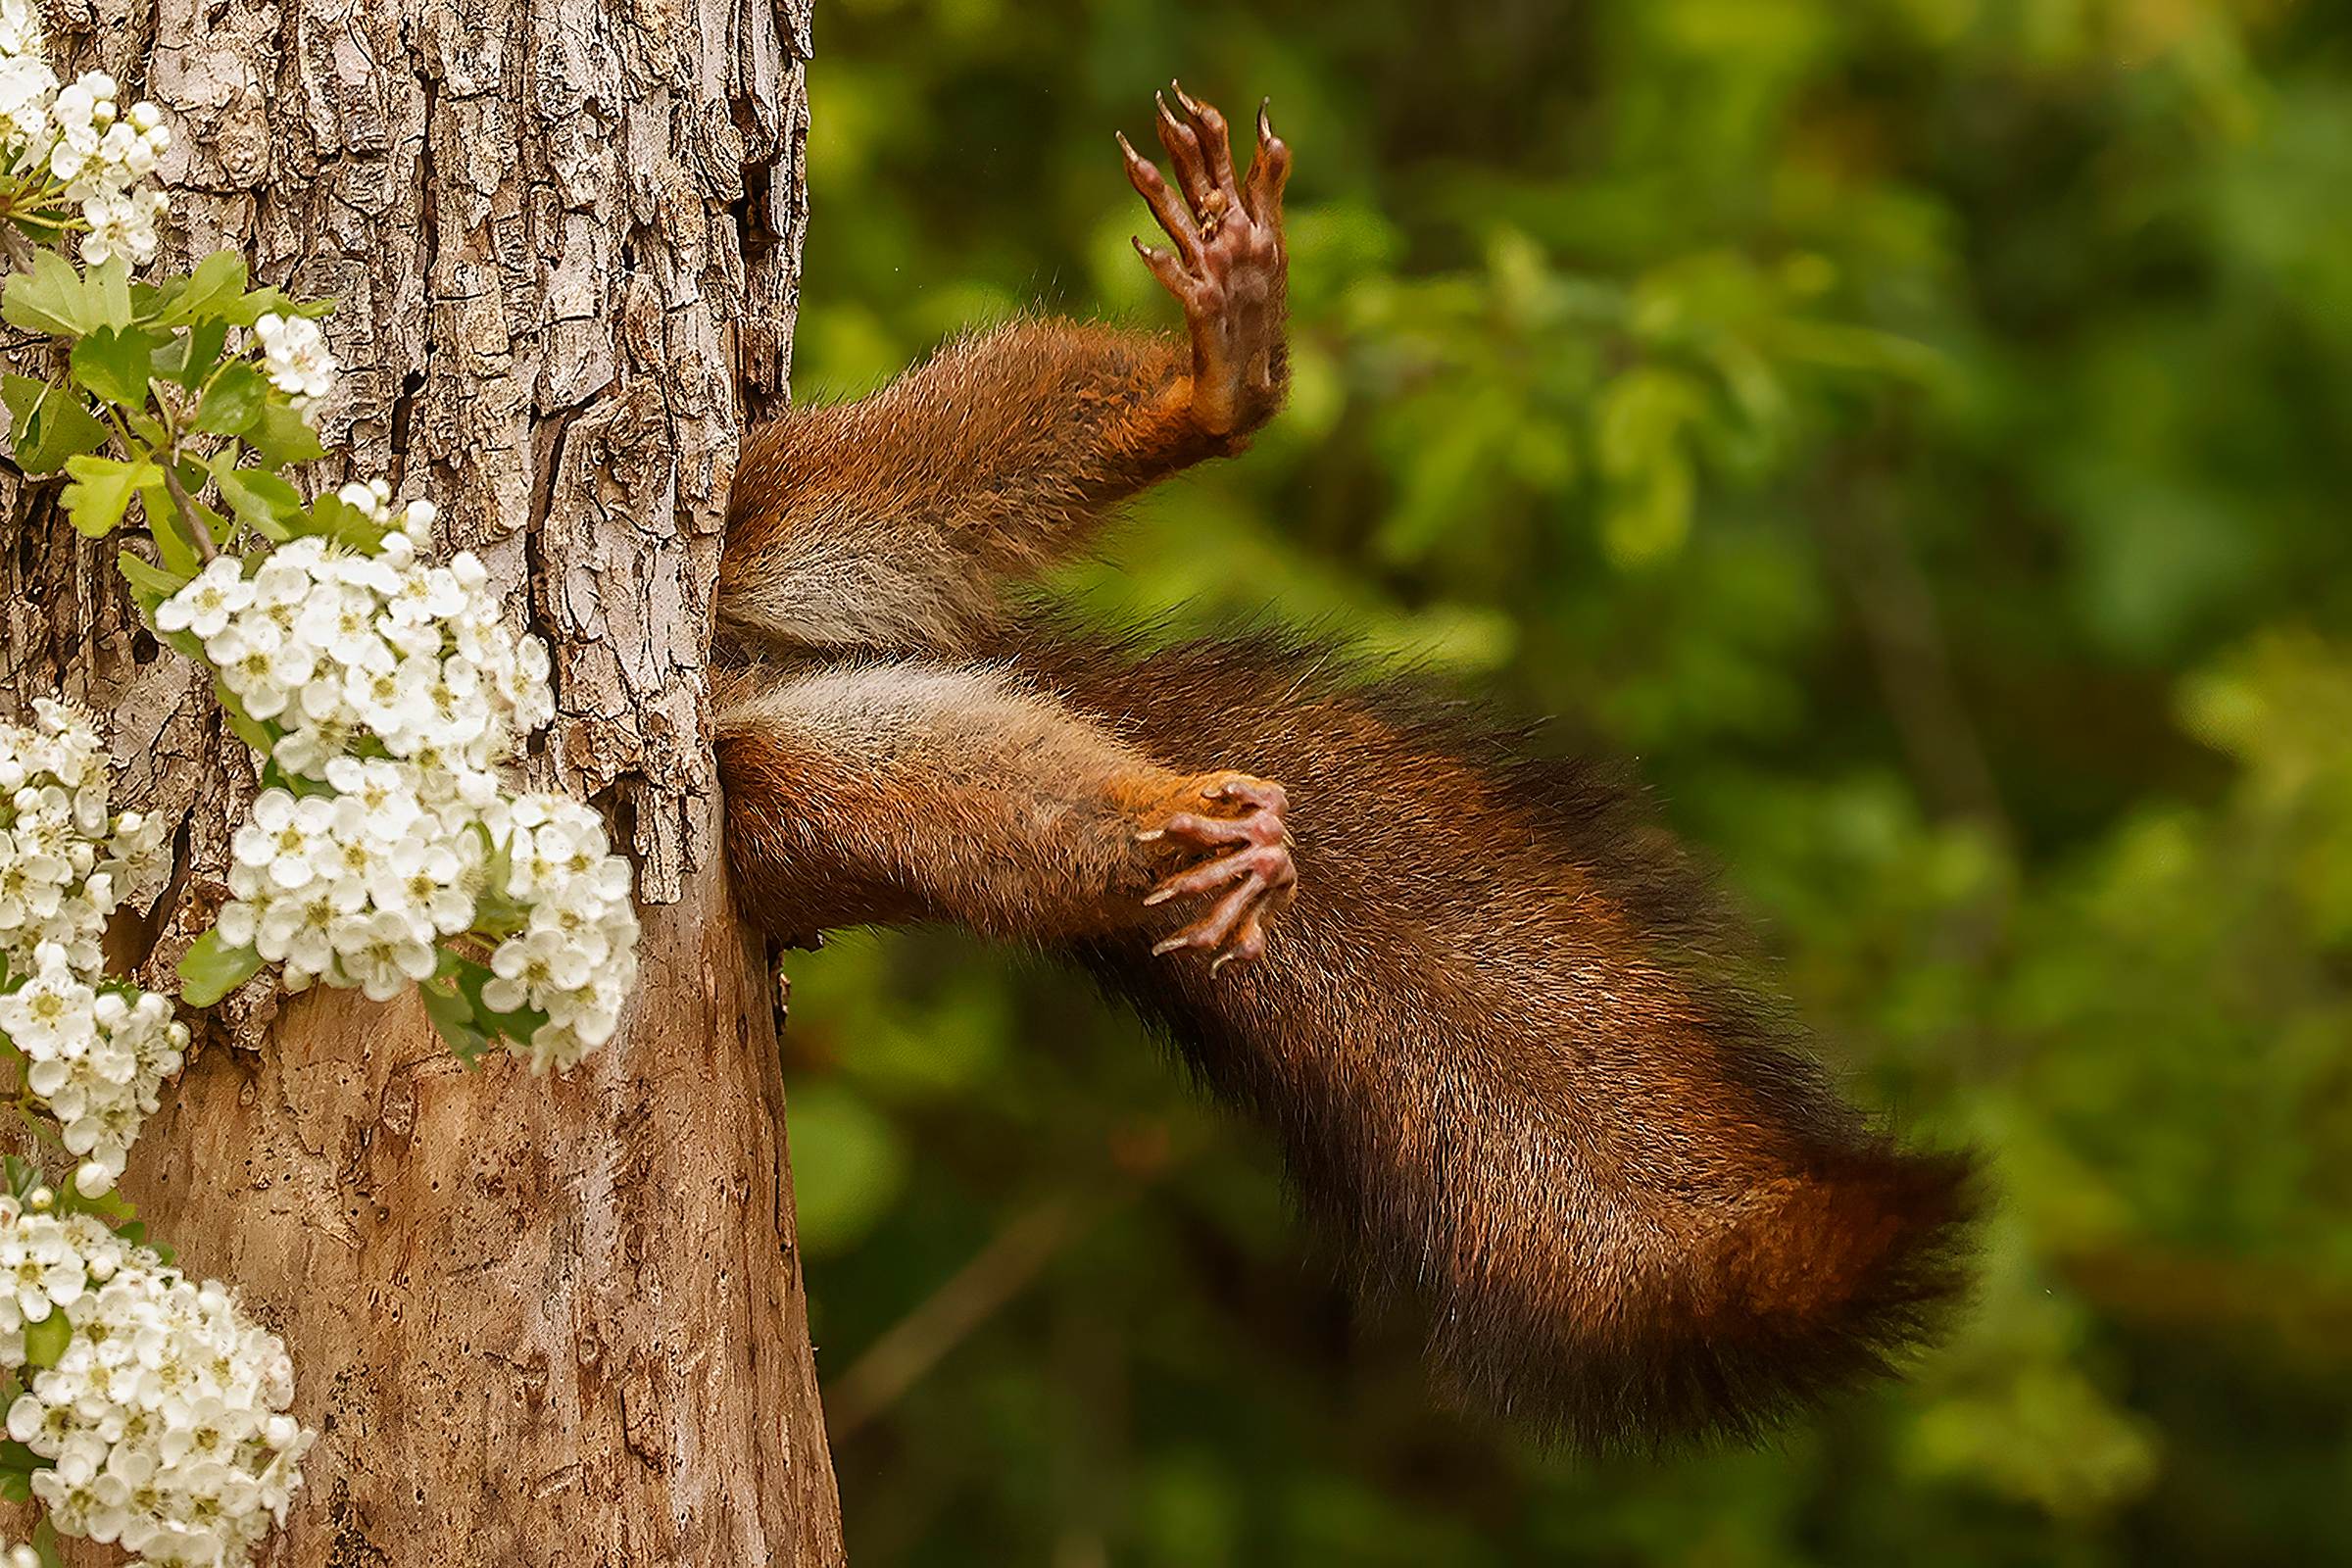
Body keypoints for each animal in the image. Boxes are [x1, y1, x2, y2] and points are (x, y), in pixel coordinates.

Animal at [706, 85, 1976, 1457]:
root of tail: (749, 667)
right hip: (787, 792)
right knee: (950, 794)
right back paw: (1185, 826)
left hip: (777, 509)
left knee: (929, 460)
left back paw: (1216, 380)